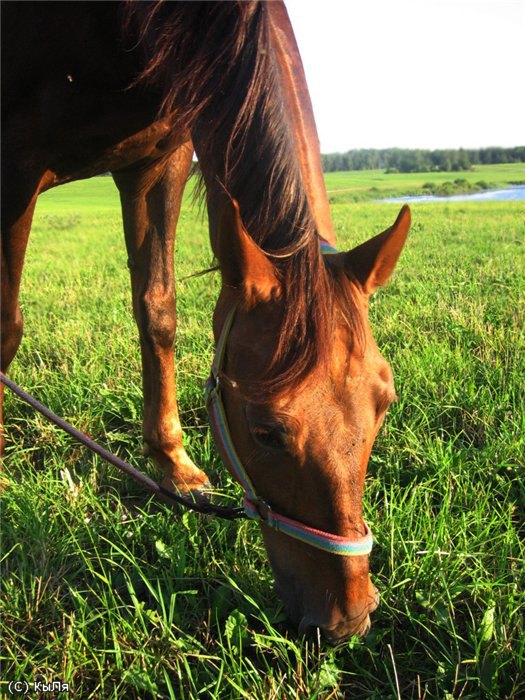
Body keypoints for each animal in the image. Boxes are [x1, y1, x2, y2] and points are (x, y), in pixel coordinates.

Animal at [1, 1, 410, 644]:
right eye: (265, 430)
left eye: (385, 404)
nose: (348, 617)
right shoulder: (15, 161)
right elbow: (7, 327)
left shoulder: (157, 162)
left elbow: (157, 309)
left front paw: (174, 464)